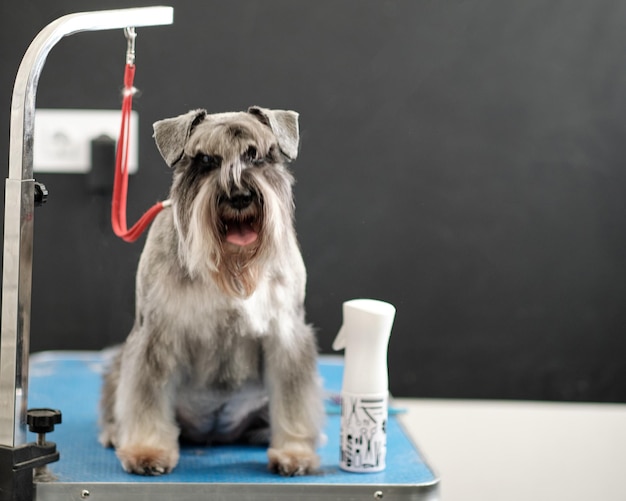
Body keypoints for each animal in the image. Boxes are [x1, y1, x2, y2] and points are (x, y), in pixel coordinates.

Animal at [98, 103, 322, 474]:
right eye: (205, 159)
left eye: (256, 155)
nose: (239, 196)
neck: (231, 267)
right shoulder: (155, 337)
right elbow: (146, 396)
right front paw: (147, 450)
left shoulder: (287, 335)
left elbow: (295, 400)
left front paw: (294, 452)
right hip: (118, 367)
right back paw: (116, 434)